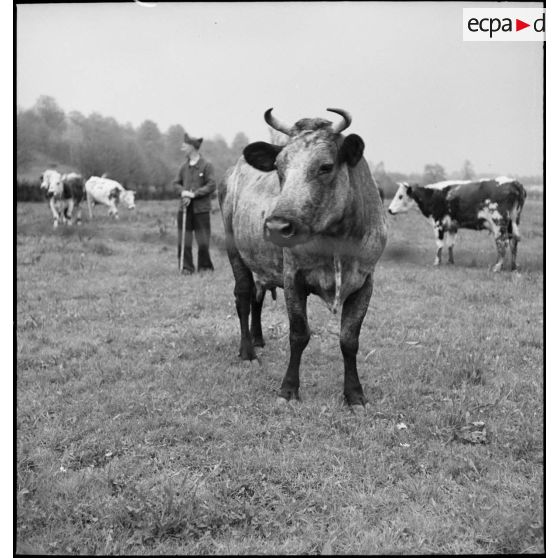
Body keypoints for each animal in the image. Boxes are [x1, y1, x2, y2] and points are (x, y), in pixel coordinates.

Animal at [220, 108, 390, 412]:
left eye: (325, 166)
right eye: (279, 168)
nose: (277, 227)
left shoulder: (366, 281)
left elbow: (349, 339)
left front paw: (355, 394)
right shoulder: (293, 277)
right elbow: (299, 334)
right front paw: (288, 389)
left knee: (257, 297)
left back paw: (258, 339)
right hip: (235, 250)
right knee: (243, 295)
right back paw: (248, 351)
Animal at [390, 178, 528, 272]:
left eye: (400, 196)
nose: (389, 210)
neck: (434, 195)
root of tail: (514, 183)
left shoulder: (438, 225)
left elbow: (439, 245)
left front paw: (437, 262)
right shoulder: (452, 227)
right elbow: (450, 245)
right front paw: (450, 262)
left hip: (499, 223)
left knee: (502, 244)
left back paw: (497, 267)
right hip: (513, 223)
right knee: (513, 243)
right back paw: (513, 267)